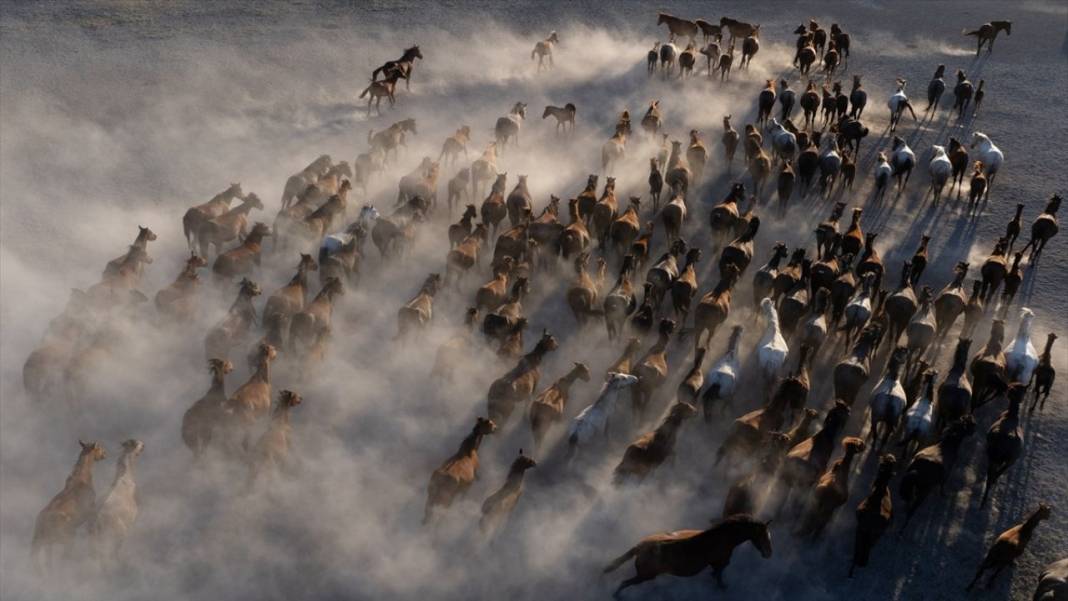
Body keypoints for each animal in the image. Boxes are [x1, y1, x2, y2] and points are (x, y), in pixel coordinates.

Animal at [606, 512, 773, 597]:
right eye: (763, 536)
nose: (769, 554)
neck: (722, 537)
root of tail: (639, 547)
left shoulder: (717, 563)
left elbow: (717, 573)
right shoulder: (721, 561)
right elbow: (719, 573)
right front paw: (722, 586)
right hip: (645, 576)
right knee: (624, 583)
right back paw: (616, 595)